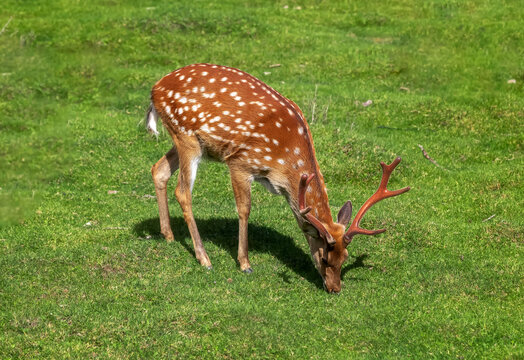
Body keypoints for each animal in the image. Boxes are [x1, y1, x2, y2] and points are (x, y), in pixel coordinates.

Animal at [144, 64, 410, 292]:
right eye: (325, 257)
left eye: (345, 257)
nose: (334, 288)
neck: (283, 167)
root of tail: (154, 90)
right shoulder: (240, 162)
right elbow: (244, 209)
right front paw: (245, 263)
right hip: (186, 136)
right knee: (183, 192)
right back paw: (204, 258)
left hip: (188, 141)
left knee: (158, 169)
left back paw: (168, 235)